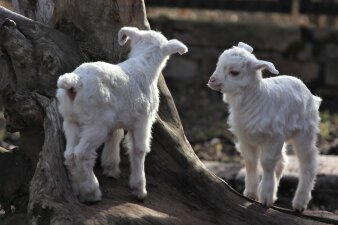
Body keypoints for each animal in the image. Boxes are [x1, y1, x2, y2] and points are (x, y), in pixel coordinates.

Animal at [55, 27, 187, 203]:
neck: (144, 64)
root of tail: (74, 82)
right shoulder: (143, 121)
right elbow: (139, 150)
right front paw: (139, 189)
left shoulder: (117, 120)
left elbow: (115, 136)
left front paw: (111, 168)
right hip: (97, 123)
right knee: (82, 154)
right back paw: (92, 192)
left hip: (70, 120)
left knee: (69, 154)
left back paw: (78, 188)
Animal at [207, 42, 320, 213]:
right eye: (218, 65)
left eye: (234, 72)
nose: (211, 80)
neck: (256, 100)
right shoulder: (245, 137)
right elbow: (250, 161)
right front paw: (251, 193)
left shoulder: (273, 137)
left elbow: (266, 163)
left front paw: (266, 198)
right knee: (282, 161)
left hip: (305, 131)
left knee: (308, 162)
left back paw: (300, 202)